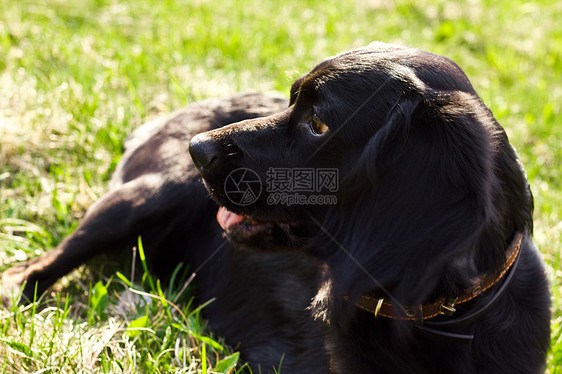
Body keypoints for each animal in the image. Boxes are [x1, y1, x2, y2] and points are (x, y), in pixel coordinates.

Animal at [3, 42, 548, 372]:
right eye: (289, 100)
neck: (443, 318)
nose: (197, 149)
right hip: (146, 197)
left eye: (318, 124)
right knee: (32, 268)